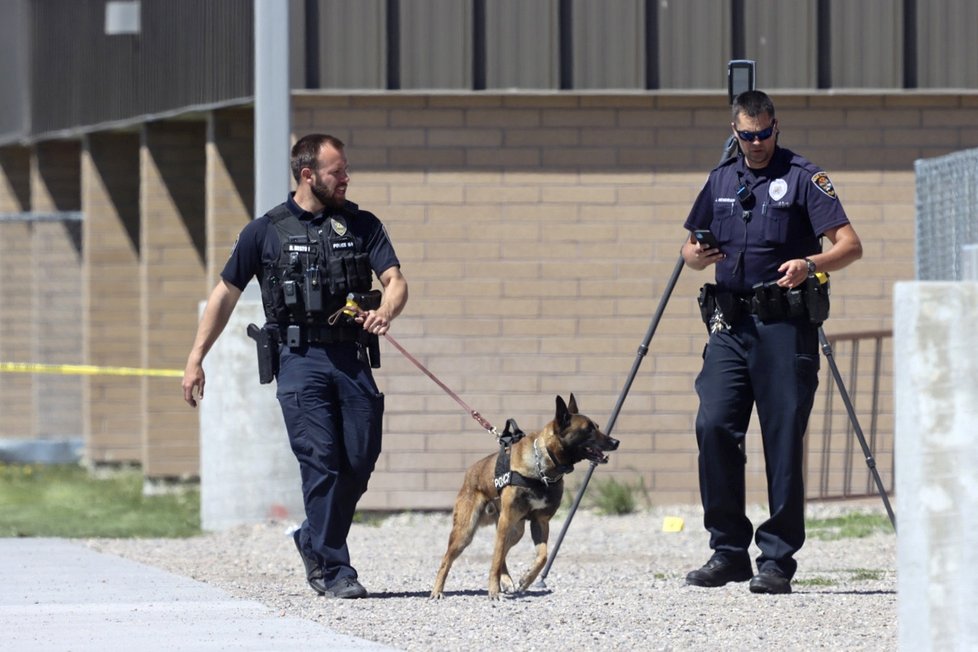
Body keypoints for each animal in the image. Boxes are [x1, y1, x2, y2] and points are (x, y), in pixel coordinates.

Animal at [428, 394, 616, 600]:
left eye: (597, 426)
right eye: (589, 429)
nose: (616, 442)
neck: (542, 468)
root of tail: (470, 471)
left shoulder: (540, 522)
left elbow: (543, 556)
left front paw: (527, 579)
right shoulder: (508, 520)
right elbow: (495, 559)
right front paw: (493, 590)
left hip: (515, 530)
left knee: (501, 554)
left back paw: (506, 580)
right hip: (467, 532)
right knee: (450, 559)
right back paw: (437, 590)